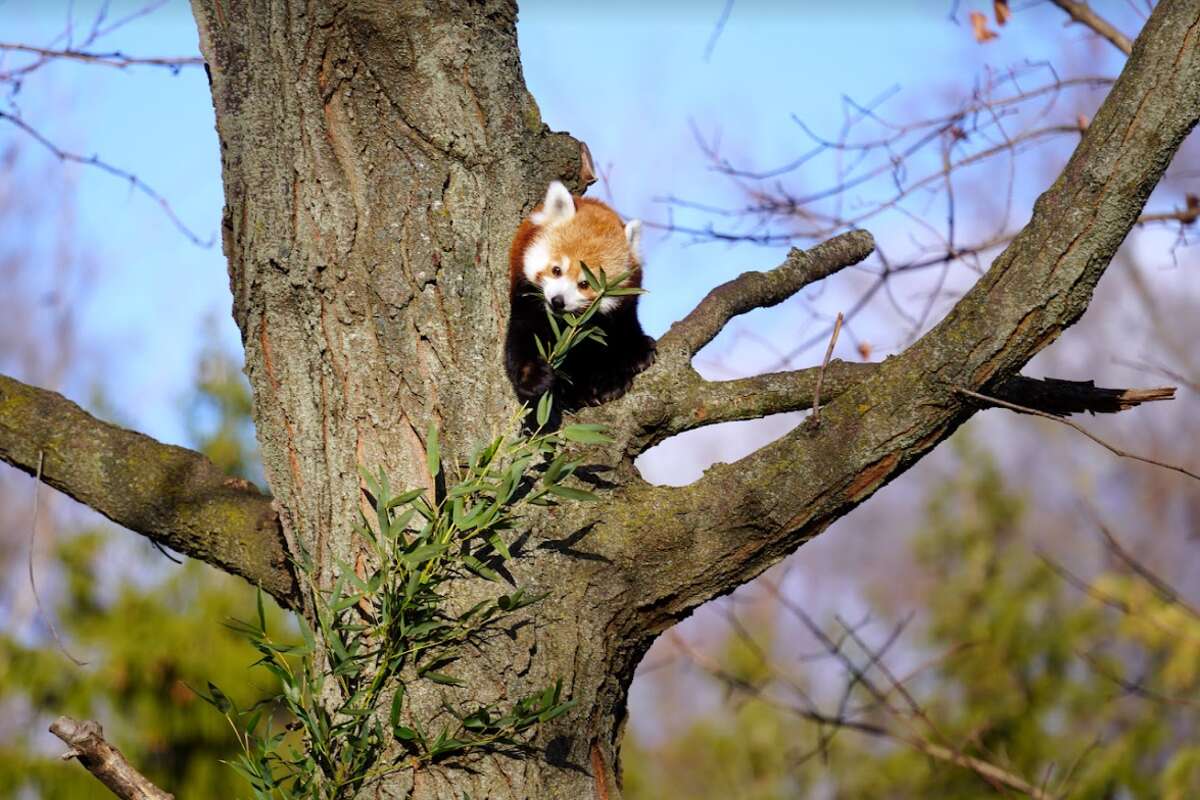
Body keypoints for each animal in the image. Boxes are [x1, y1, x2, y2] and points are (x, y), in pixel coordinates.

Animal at [506, 182, 657, 417]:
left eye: (585, 284)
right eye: (556, 270)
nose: (557, 301)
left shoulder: (621, 311)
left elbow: (621, 333)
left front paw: (634, 354)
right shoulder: (526, 300)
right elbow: (522, 339)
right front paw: (534, 377)